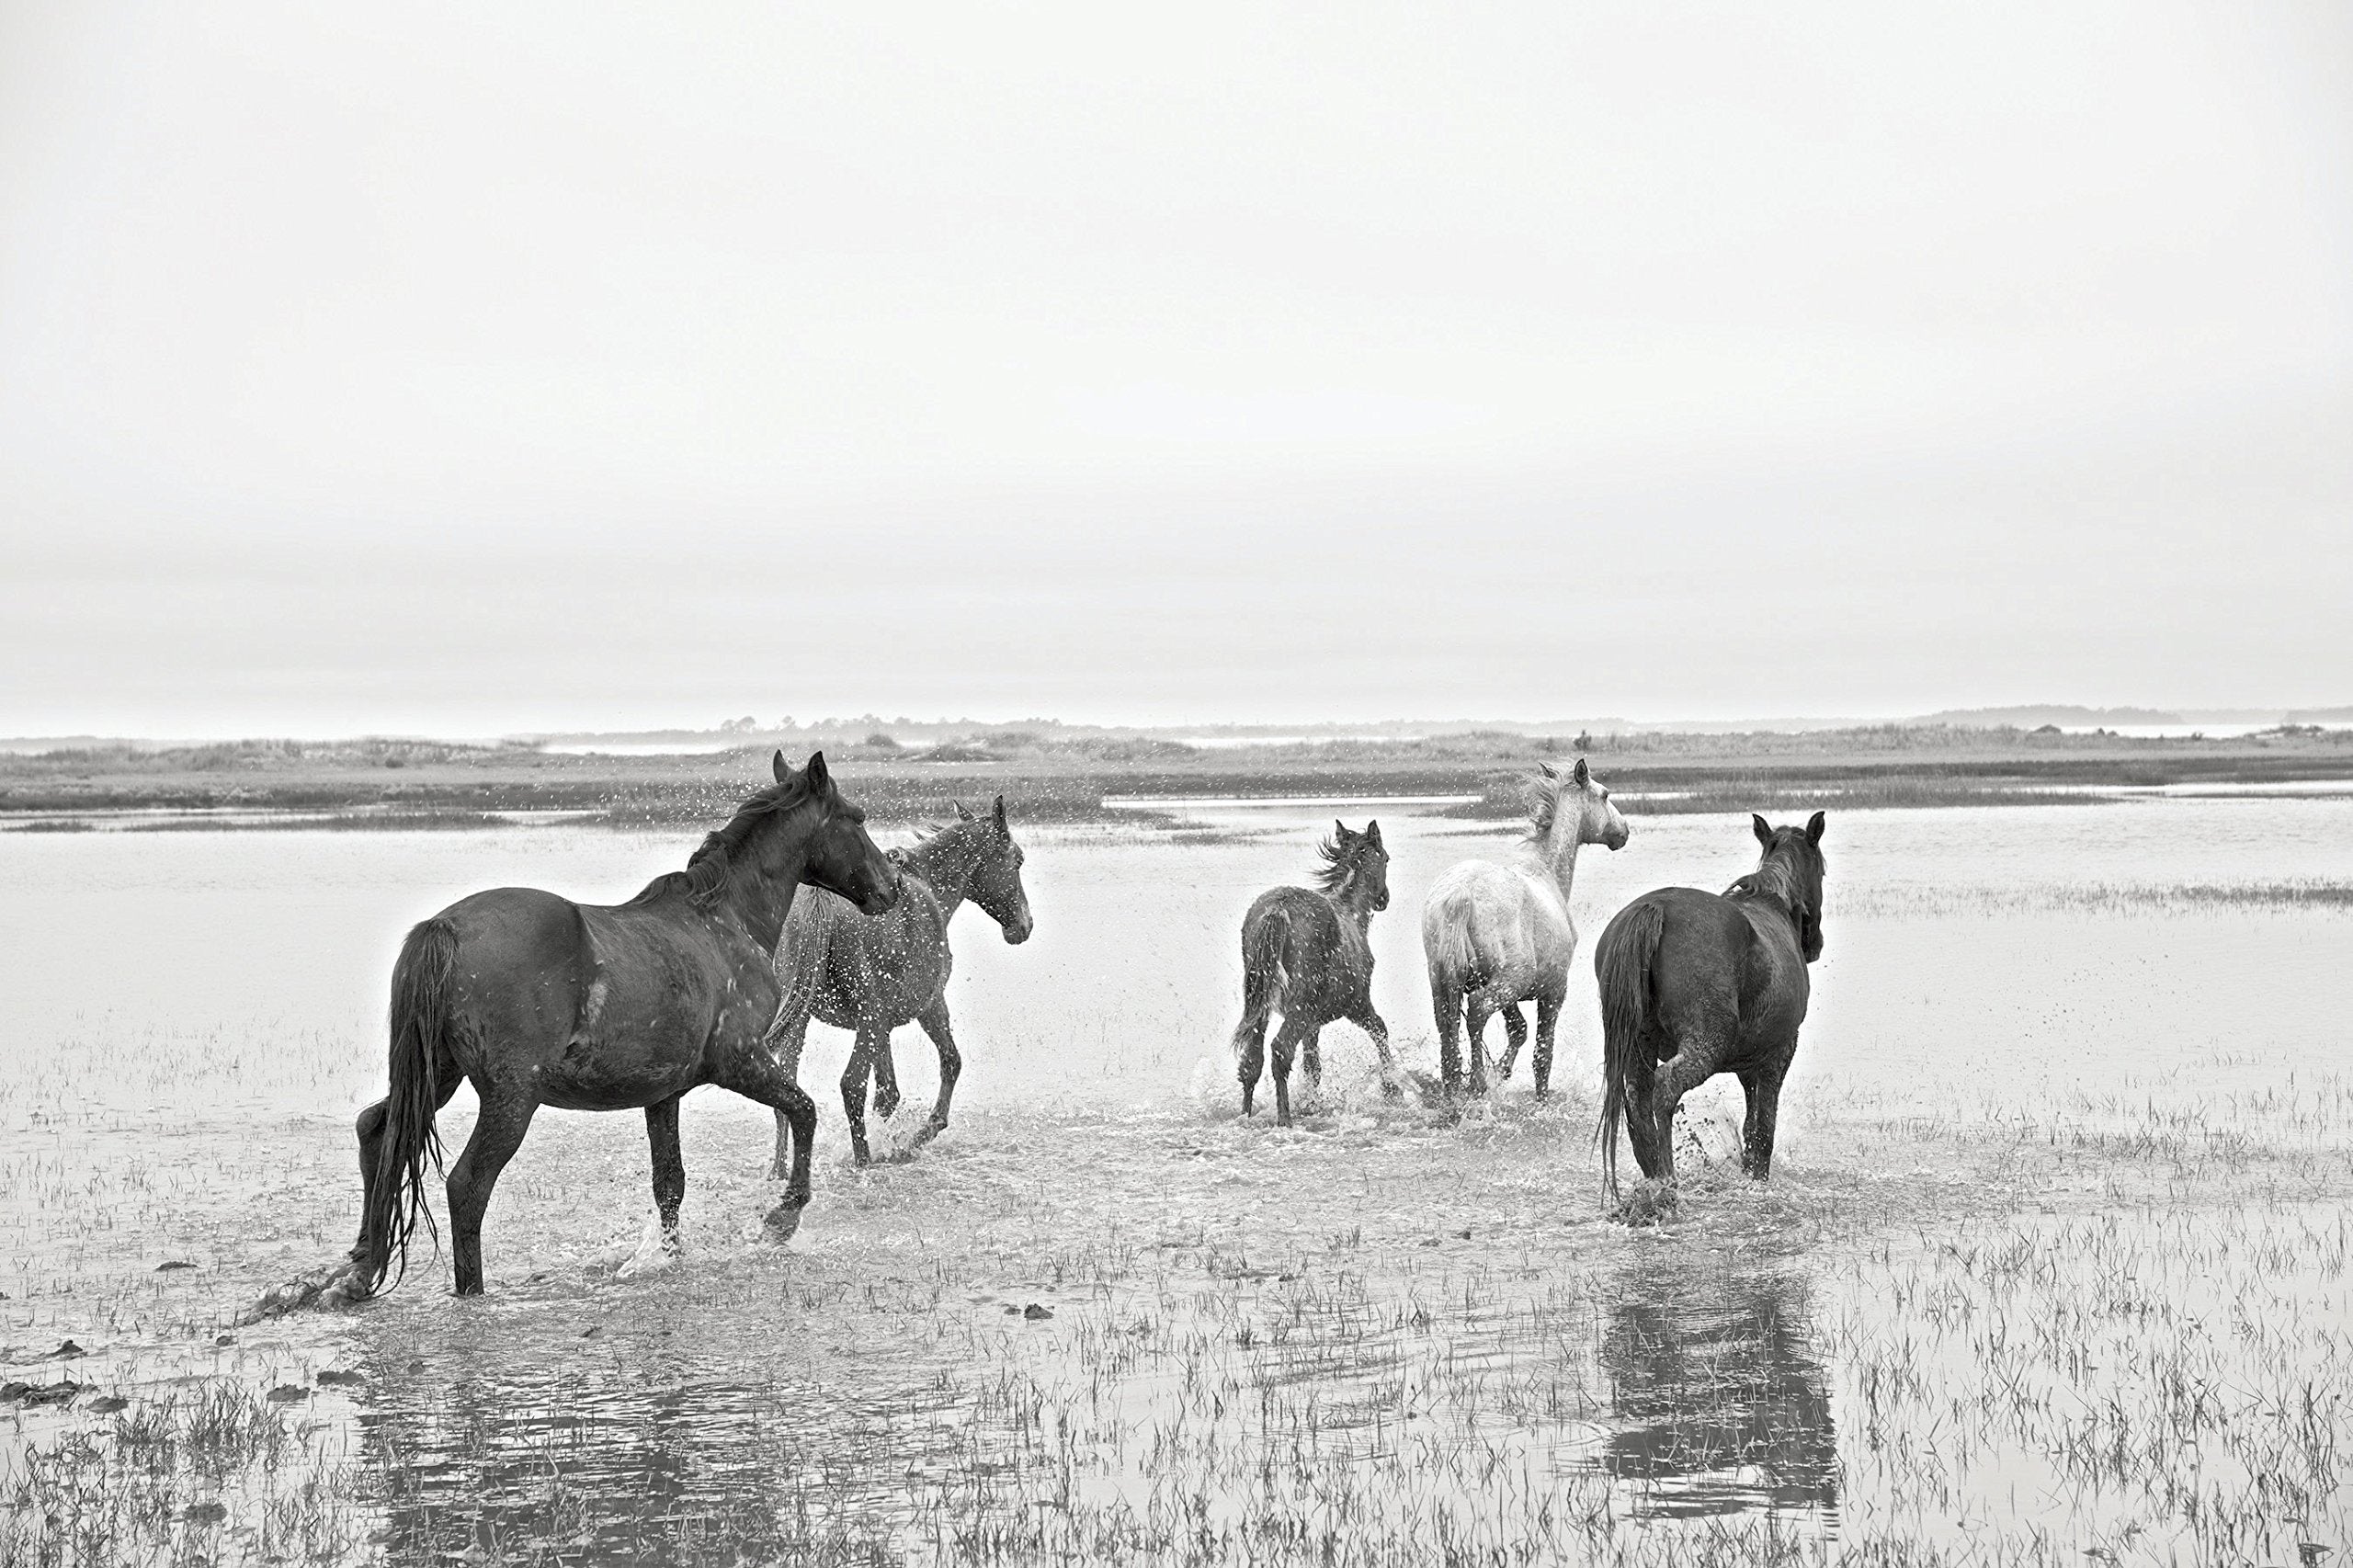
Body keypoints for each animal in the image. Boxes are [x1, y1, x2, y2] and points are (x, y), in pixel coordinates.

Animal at [767, 786, 1035, 1167]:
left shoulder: (882, 1024)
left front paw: (893, 1144)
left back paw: (779, 1169)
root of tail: (819, 902)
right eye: (1018, 860)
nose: (1024, 926)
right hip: (864, 1018)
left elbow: (888, 1094)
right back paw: (864, 1162)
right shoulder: (930, 1006)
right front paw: (914, 1139)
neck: (931, 888)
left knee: (789, 1087)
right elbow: (950, 1062)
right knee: (851, 1085)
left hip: (806, 1017)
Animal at [1233, 819, 1392, 1125]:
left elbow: (1312, 1065)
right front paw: (1393, 1089)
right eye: (1386, 858)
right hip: (1301, 1007)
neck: (1352, 913)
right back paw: (1284, 1118)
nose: (1383, 899)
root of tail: (1277, 909)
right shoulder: (1357, 1005)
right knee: (1280, 1050)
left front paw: (1311, 1103)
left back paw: (1245, 1114)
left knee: (1252, 1060)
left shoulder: (1313, 1022)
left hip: (1261, 1006)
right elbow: (1381, 1030)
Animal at [1412, 757, 1637, 1087]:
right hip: (1506, 981)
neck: (1547, 874)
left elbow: (1518, 1030)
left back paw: (1456, 1084)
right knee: (1477, 1011)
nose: (1623, 832)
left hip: (1443, 983)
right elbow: (1543, 1057)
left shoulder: (1514, 996)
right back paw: (1477, 1082)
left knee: (1448, 1028)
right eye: (1605, 795)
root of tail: (1460, 893)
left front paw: (1501, 1071)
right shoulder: (1553, 993)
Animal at [1590, 805, 1825, 1196]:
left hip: (1638, 1047)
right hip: (1704, 1045)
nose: (1815, 945)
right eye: (1822, 869)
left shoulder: (1749, 1067)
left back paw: (1653, 1174)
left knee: (1638, 1102)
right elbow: (1764, 1130)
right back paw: (1668, 1178)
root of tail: (1654, 908)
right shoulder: (1776, 1056)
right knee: (1665, 1088)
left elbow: (1751, 1130)